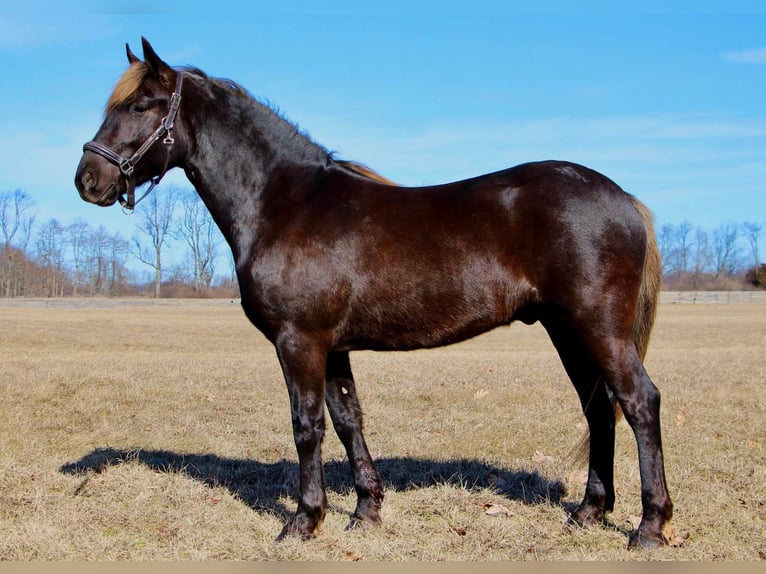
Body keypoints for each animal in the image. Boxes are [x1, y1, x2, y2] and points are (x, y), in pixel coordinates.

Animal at [72, 38, 672, 552]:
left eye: (142, 105)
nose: (88, 179)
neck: (284, 203)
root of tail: (623, 197)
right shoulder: (332, 347)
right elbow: (347, 421)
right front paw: (365, 511)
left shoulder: (299, 342)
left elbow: (307, 427)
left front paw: (304, 520)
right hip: (567, 330)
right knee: (600, 408)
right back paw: (589, 512)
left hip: (598, 327)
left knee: (639, 402)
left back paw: (649, 525)